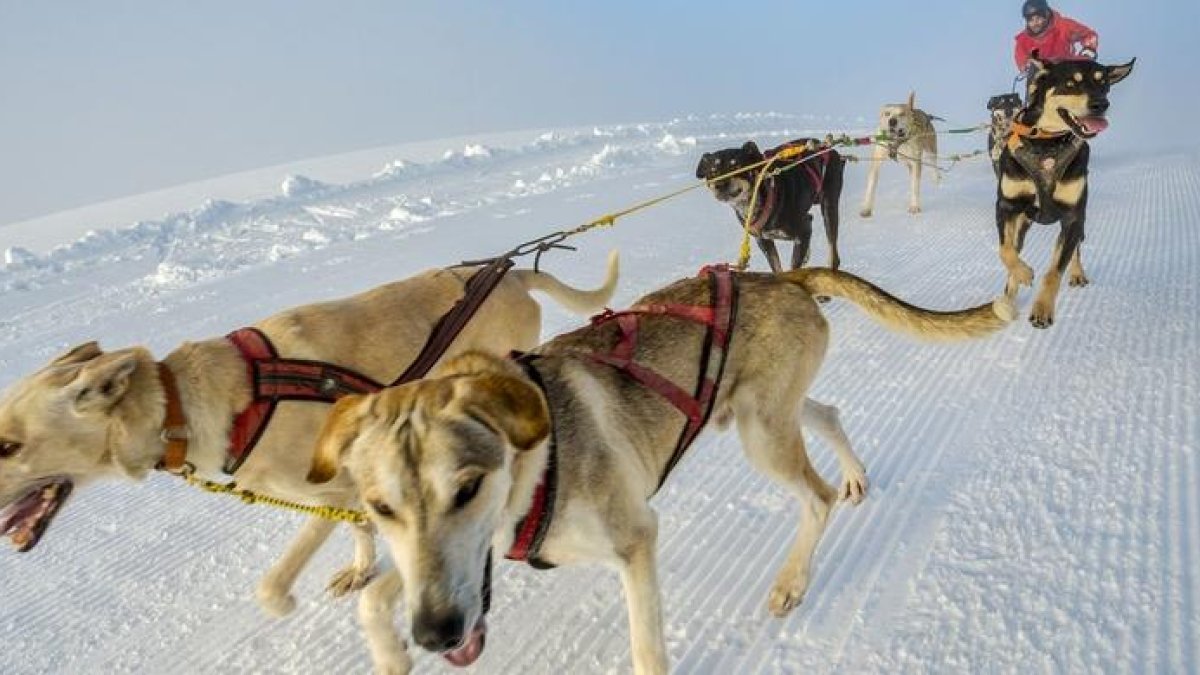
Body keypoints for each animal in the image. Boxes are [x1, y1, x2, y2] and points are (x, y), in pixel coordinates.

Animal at [0, 252, 619, 667]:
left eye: (8, 445)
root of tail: (510, 272)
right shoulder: (349, 484)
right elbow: (362, 531)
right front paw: (361, 568)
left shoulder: (333, 489)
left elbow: (273, 589)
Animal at [696, 139, 844, 273]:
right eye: (713, 171)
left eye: (737, 167)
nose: (720, 184)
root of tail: (828, 147)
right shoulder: (763, 241)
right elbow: (776, 267)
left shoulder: (803, 232)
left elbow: (793, 266)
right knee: (810, 218)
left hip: (829, 208)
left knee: (833, 254)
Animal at [993, 54, 1132, 326]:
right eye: (1070, 83)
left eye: (1103, 83)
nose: (1101, 104)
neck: (1048, 143)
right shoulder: (1006, 206)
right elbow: (1005, 250)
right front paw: (1022, 274)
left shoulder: (1073, 216)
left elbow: (1055, 269)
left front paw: (1042, 308)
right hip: (1022, 221)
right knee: (1015, 247)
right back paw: (1010, 293)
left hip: (1079, 220)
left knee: (1075, 247)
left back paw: (1077, 273)